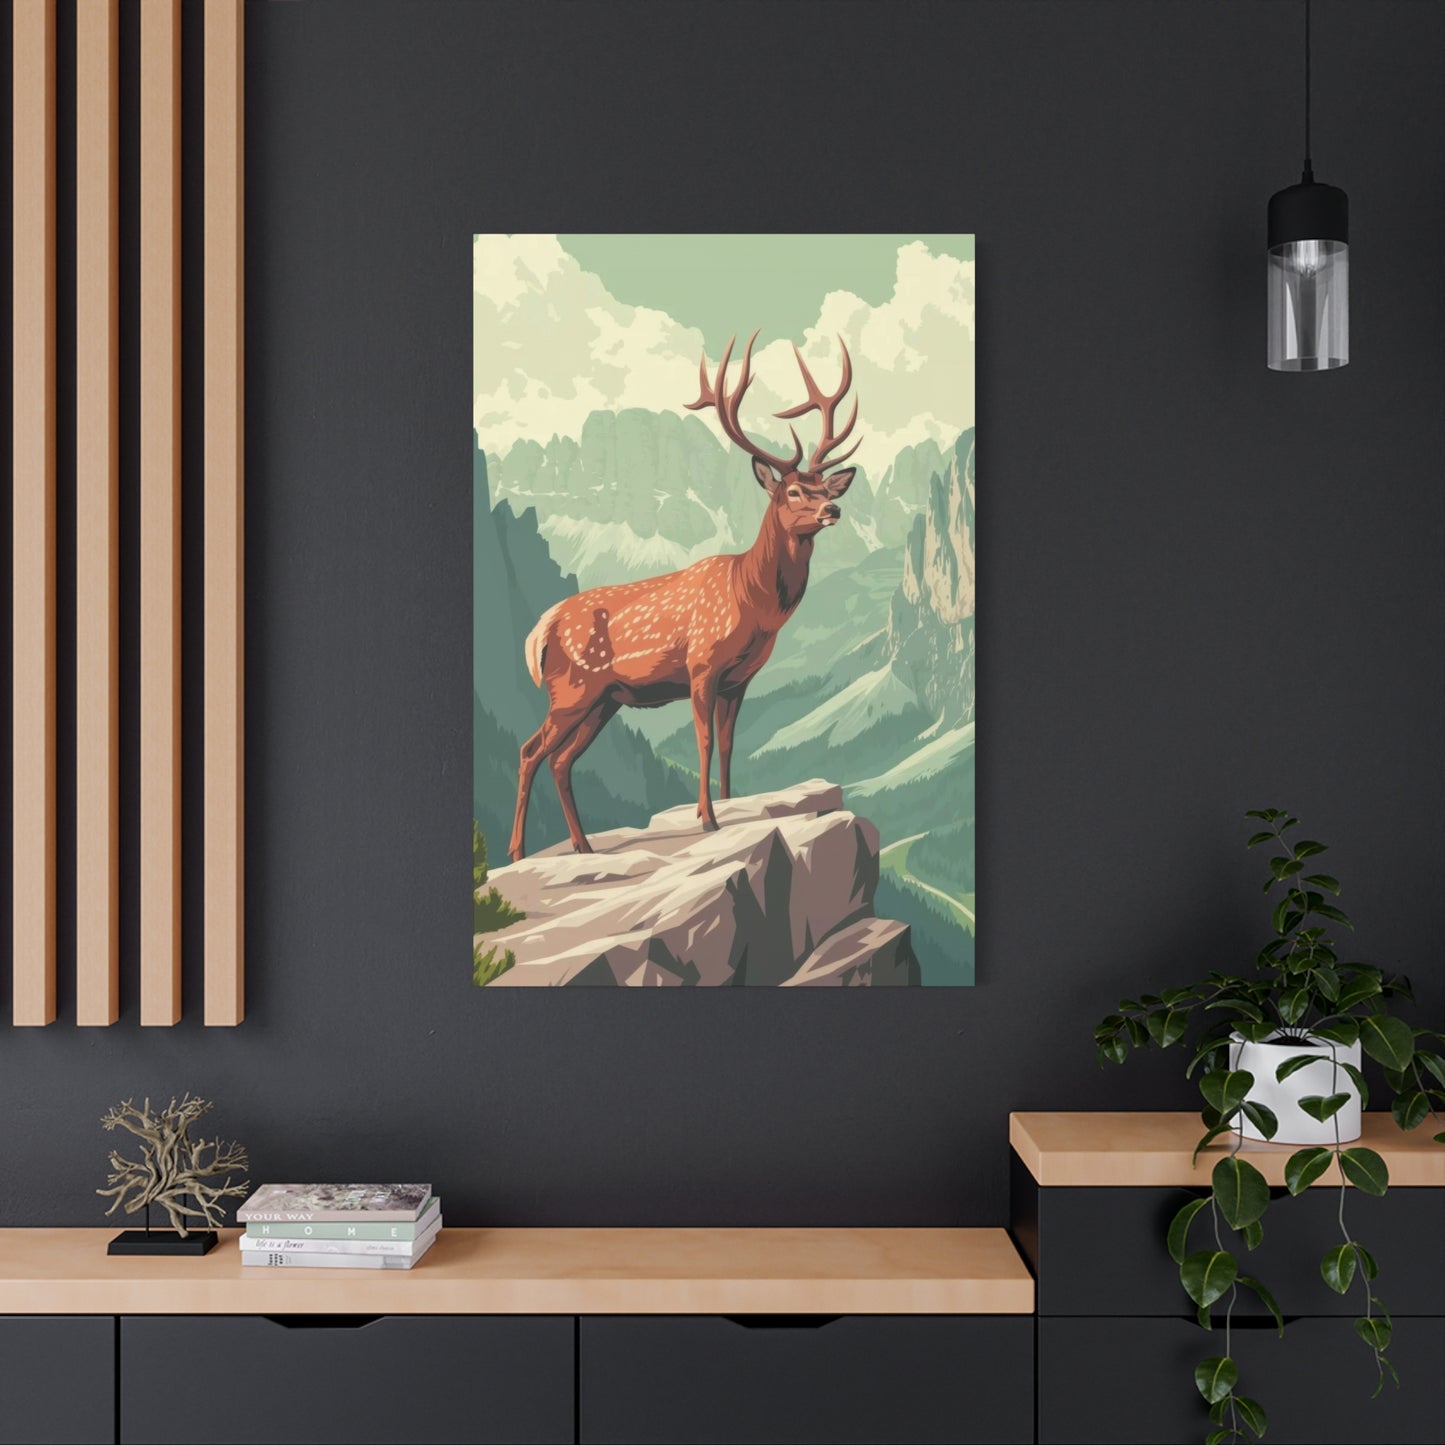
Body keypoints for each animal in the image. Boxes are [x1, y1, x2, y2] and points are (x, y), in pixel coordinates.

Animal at [507, 330, 861, 861]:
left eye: (825, 486)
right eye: (795, 491)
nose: (833, 509)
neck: (751, 601)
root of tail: (539, 631)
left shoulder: (739, 679)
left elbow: (730, 745)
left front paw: (730, 806)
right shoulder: (702, 664)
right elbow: (704, 741)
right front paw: (707, 819)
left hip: (604, 701)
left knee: (561, 760)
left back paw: (583, 846)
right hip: (571, 689)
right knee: (531, 751)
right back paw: (517, 853)